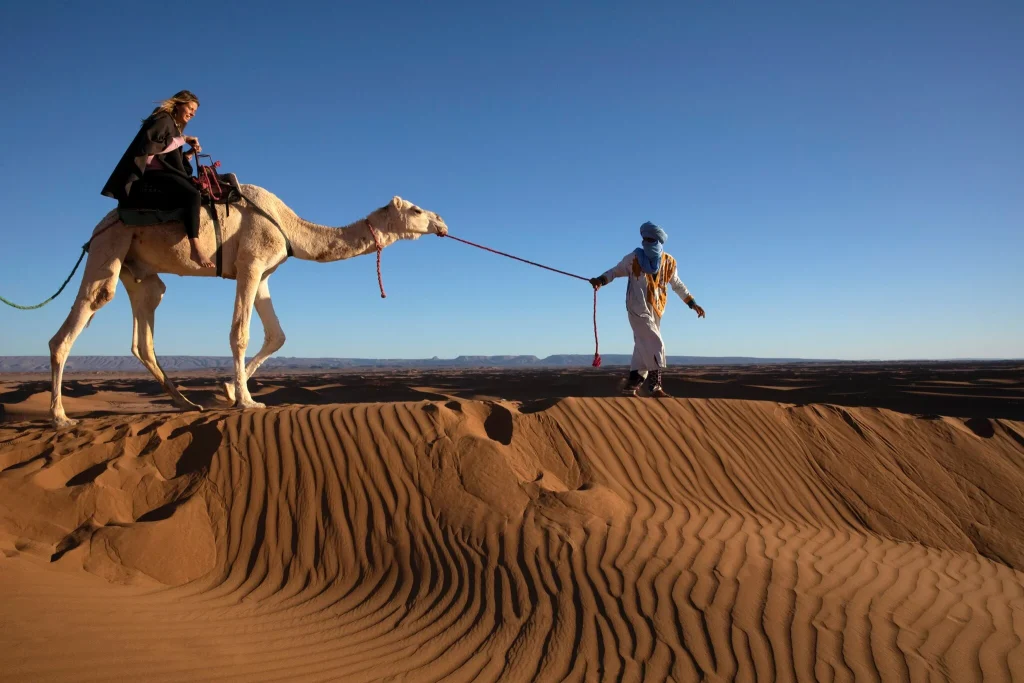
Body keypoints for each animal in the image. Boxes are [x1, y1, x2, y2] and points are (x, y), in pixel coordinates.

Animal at [48, 186, 448, 428]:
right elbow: (240, 333)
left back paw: (187, 404)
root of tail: (96, 228)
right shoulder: (251, 263)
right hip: (110, 247)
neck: (289, 226)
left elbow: (277, 336)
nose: (443, 222)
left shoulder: (264, 273)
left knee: (144, 333)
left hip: (139, 273)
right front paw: (245, 401)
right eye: (416, 209)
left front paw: (228, 389)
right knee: (80, 318)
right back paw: (60, 417)